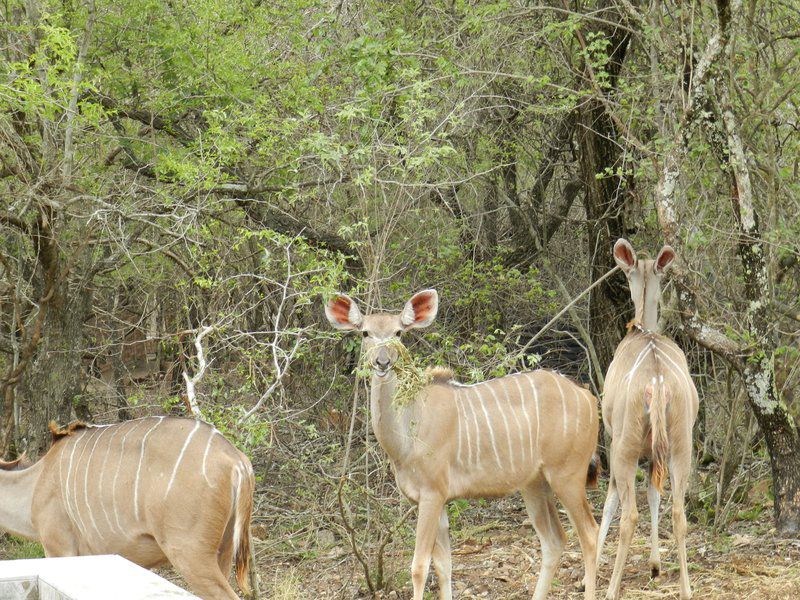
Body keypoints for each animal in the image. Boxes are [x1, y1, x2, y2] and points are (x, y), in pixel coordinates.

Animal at [324, 288, 600, 596]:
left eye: (398, 332)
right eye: (365, 333)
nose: (382, 362)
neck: (409, 431)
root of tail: (588, 397)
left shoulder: (432, 494)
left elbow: (419, 567)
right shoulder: (435, 499)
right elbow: (444, 565)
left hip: (567, 475)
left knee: (590, 534)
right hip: (534, 483)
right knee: (554, 540)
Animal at [600, 240, 700, 600]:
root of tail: (657, 383)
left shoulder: (611, 437)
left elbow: (611, 501)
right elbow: (655, 493)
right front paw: (656, 566)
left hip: (625, 445)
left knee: (628, 514)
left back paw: (610, 589)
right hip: (681, 444)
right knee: (679, 512)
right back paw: (686, 588)